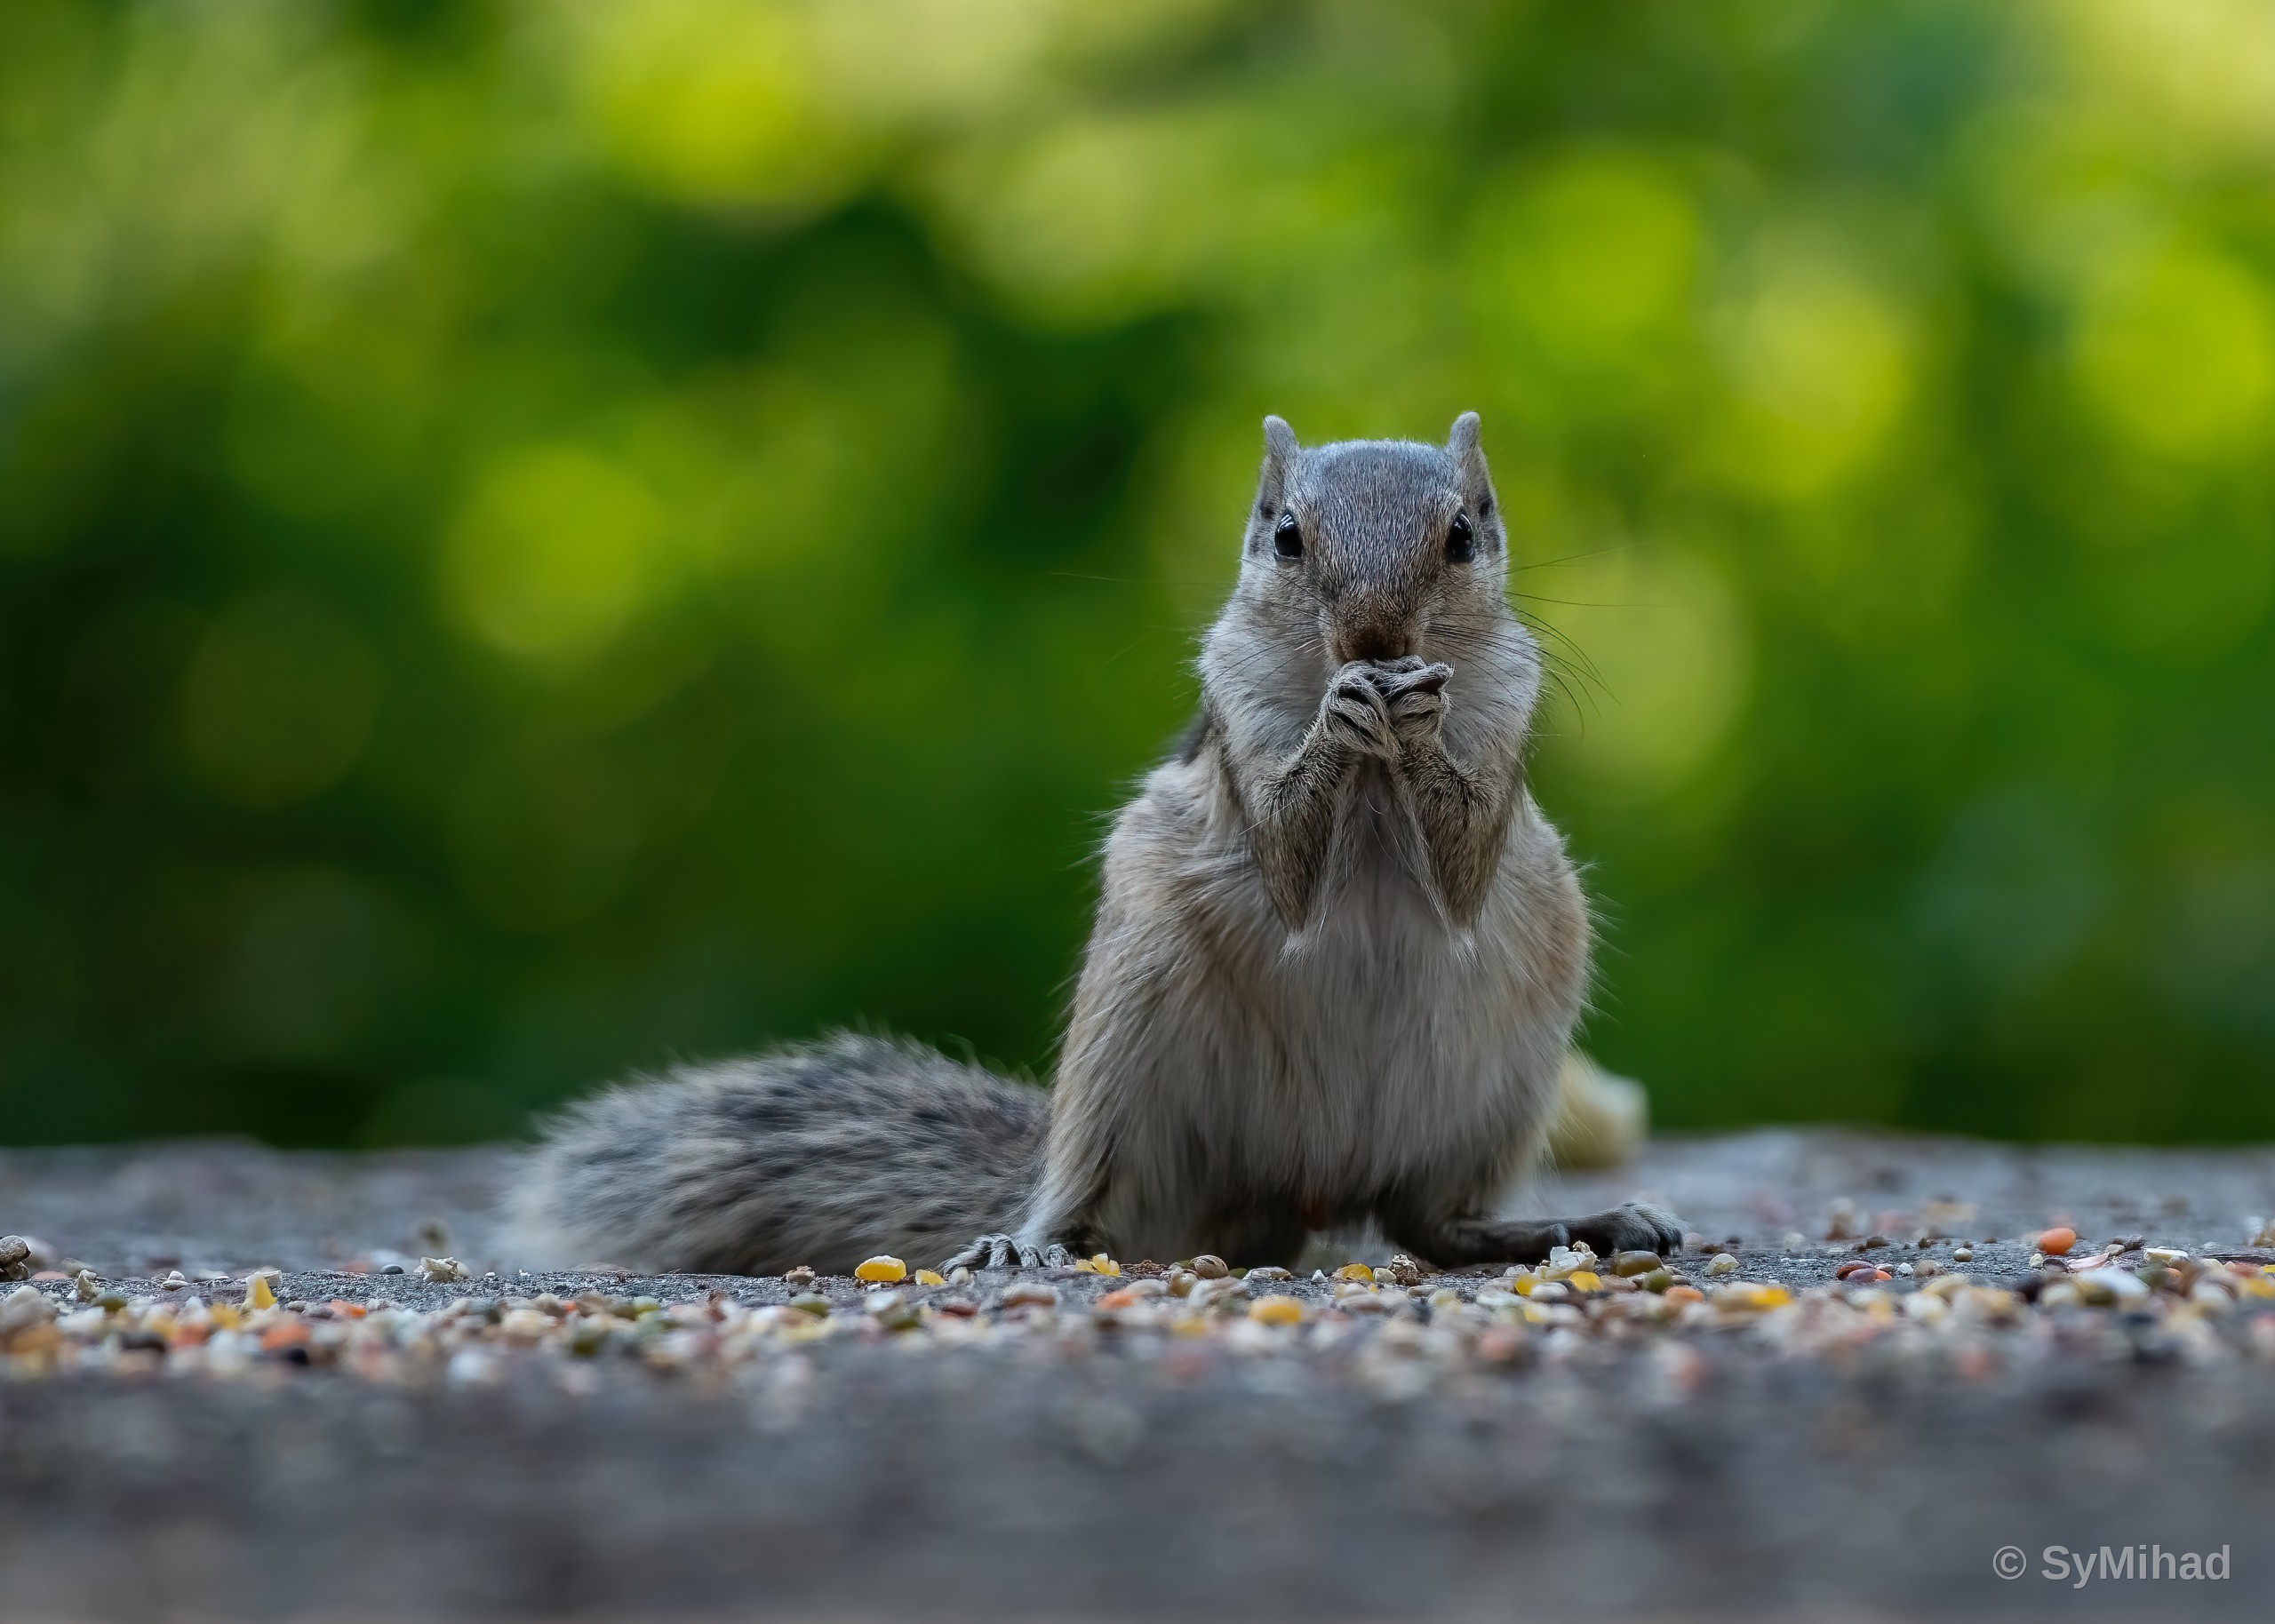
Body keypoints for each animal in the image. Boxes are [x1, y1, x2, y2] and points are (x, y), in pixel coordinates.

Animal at [507, 413, 1681, 1275]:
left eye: (1462, 535)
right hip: (1128, 1039)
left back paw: (1567, 1227)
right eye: (1285, 535)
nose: (1376, 638)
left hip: (1501, 1080)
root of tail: (1299, 1193)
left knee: (1428, 1224)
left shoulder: (1506, 727)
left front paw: (1416, 719)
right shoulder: (1235, 726)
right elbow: (1287, 861)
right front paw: (1339, 717)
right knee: (1100, 1206)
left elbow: (1465, 861)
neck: (1376, 769)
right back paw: (1031, 1244)